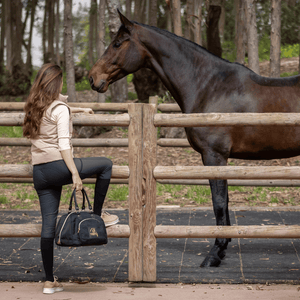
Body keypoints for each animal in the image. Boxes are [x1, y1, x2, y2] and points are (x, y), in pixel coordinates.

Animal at [89, 10, 300, 268]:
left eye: (118, 43)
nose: (92, 78)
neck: (210, 87)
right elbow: (224, 202)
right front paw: (222, 248)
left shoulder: (214, 157)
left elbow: (219, 203)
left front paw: (214, 254)